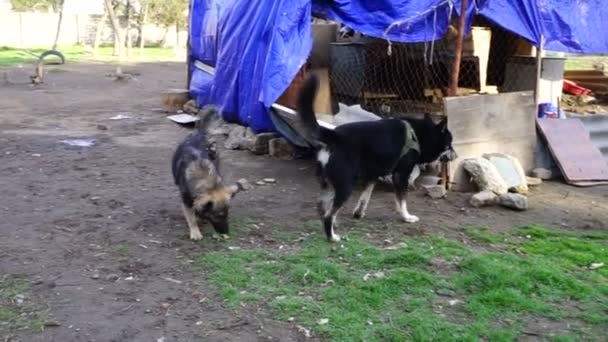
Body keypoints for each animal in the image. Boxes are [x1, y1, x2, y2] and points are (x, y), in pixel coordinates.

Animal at [296, 73, 458, 242]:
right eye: (450, 143)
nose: (456, 155)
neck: (418, 134)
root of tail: (334, 135)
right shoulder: (400, 175)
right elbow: (402, 201)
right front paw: (406, 217)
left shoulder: (372, 175)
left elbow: (365, 197)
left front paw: (358, 213)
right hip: (345, 185)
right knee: (329, 214)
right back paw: (332, 237)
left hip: (329, 184)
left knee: (323, 208)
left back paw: (333, 226)